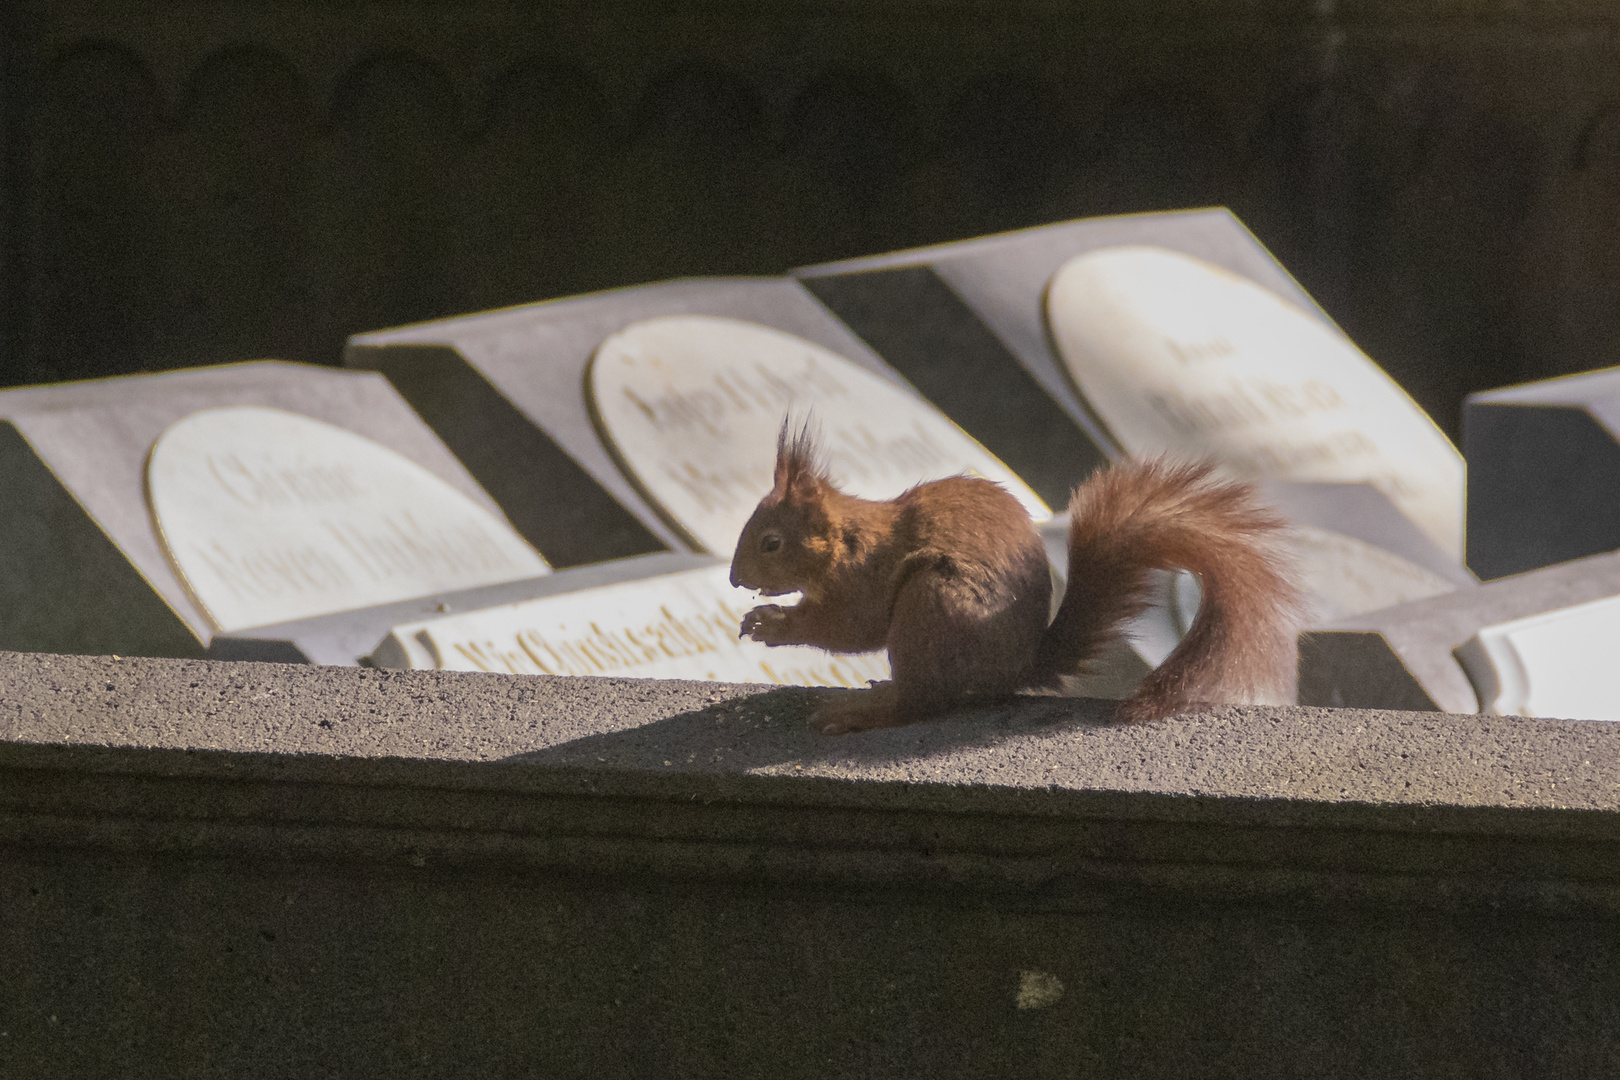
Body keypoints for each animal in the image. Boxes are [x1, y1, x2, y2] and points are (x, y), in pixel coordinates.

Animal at [732, 420, 1302, 735]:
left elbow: (850, 627)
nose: (736, 579)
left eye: (771, 542)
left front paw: (771, 623)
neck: (849, 539)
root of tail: (1019, 668)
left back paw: (863, 710)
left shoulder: (864, 579)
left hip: (931, 605)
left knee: (923, 701)